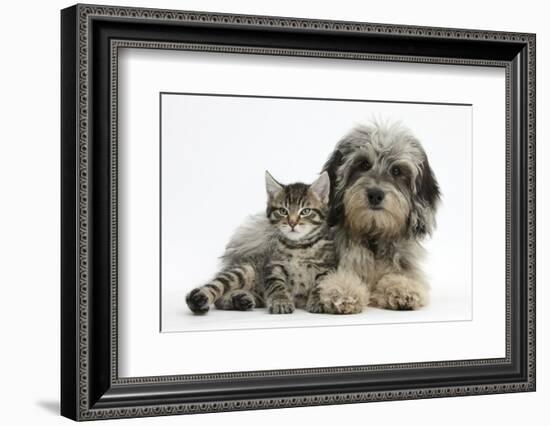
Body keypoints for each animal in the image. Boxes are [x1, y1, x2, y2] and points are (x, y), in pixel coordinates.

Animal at [316, 120, 442, 312]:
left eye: (397, 171)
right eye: (363, 164)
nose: (375, 194)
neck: (374, 237)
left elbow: (401, 277)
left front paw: (402, 288)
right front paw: (343, 290)